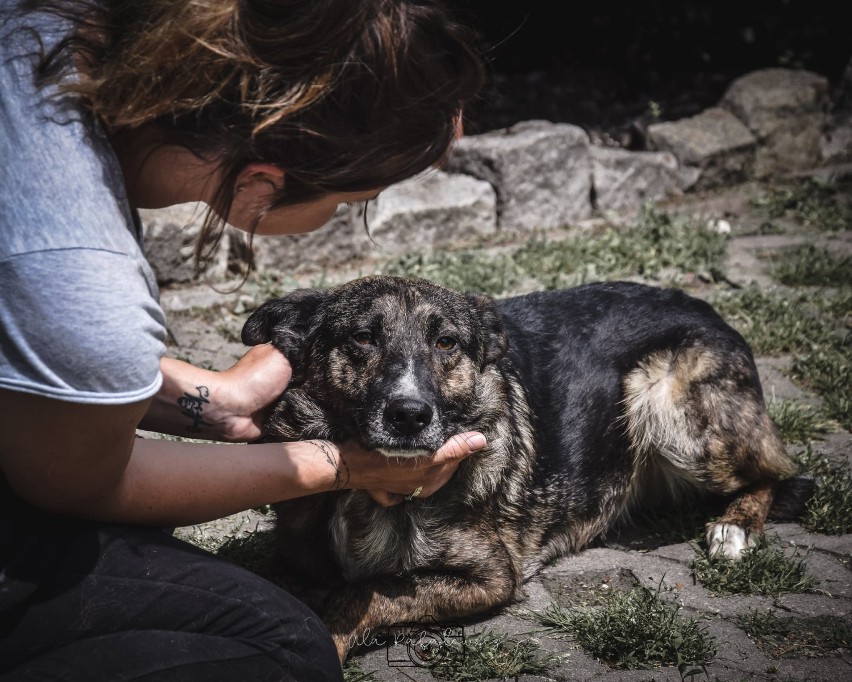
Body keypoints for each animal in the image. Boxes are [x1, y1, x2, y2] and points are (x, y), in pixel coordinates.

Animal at [240, 274, 800, 660]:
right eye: (362, 338)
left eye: (446, 343)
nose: (409, 415)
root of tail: (704, 305)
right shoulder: (289, 559)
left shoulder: (490, 577)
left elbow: (366, 591)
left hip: (667, 409)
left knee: (779, 471)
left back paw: (735, 527)